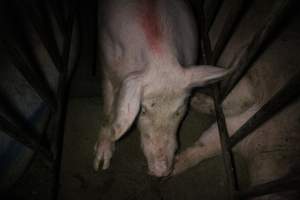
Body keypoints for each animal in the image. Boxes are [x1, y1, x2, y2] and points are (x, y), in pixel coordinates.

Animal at [92, 0, 236, 177]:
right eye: (142, 110)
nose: (161, 171)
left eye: (180, 109)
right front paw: (100, 164)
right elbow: (108, 109)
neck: (160, 57)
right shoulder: (106, 64)